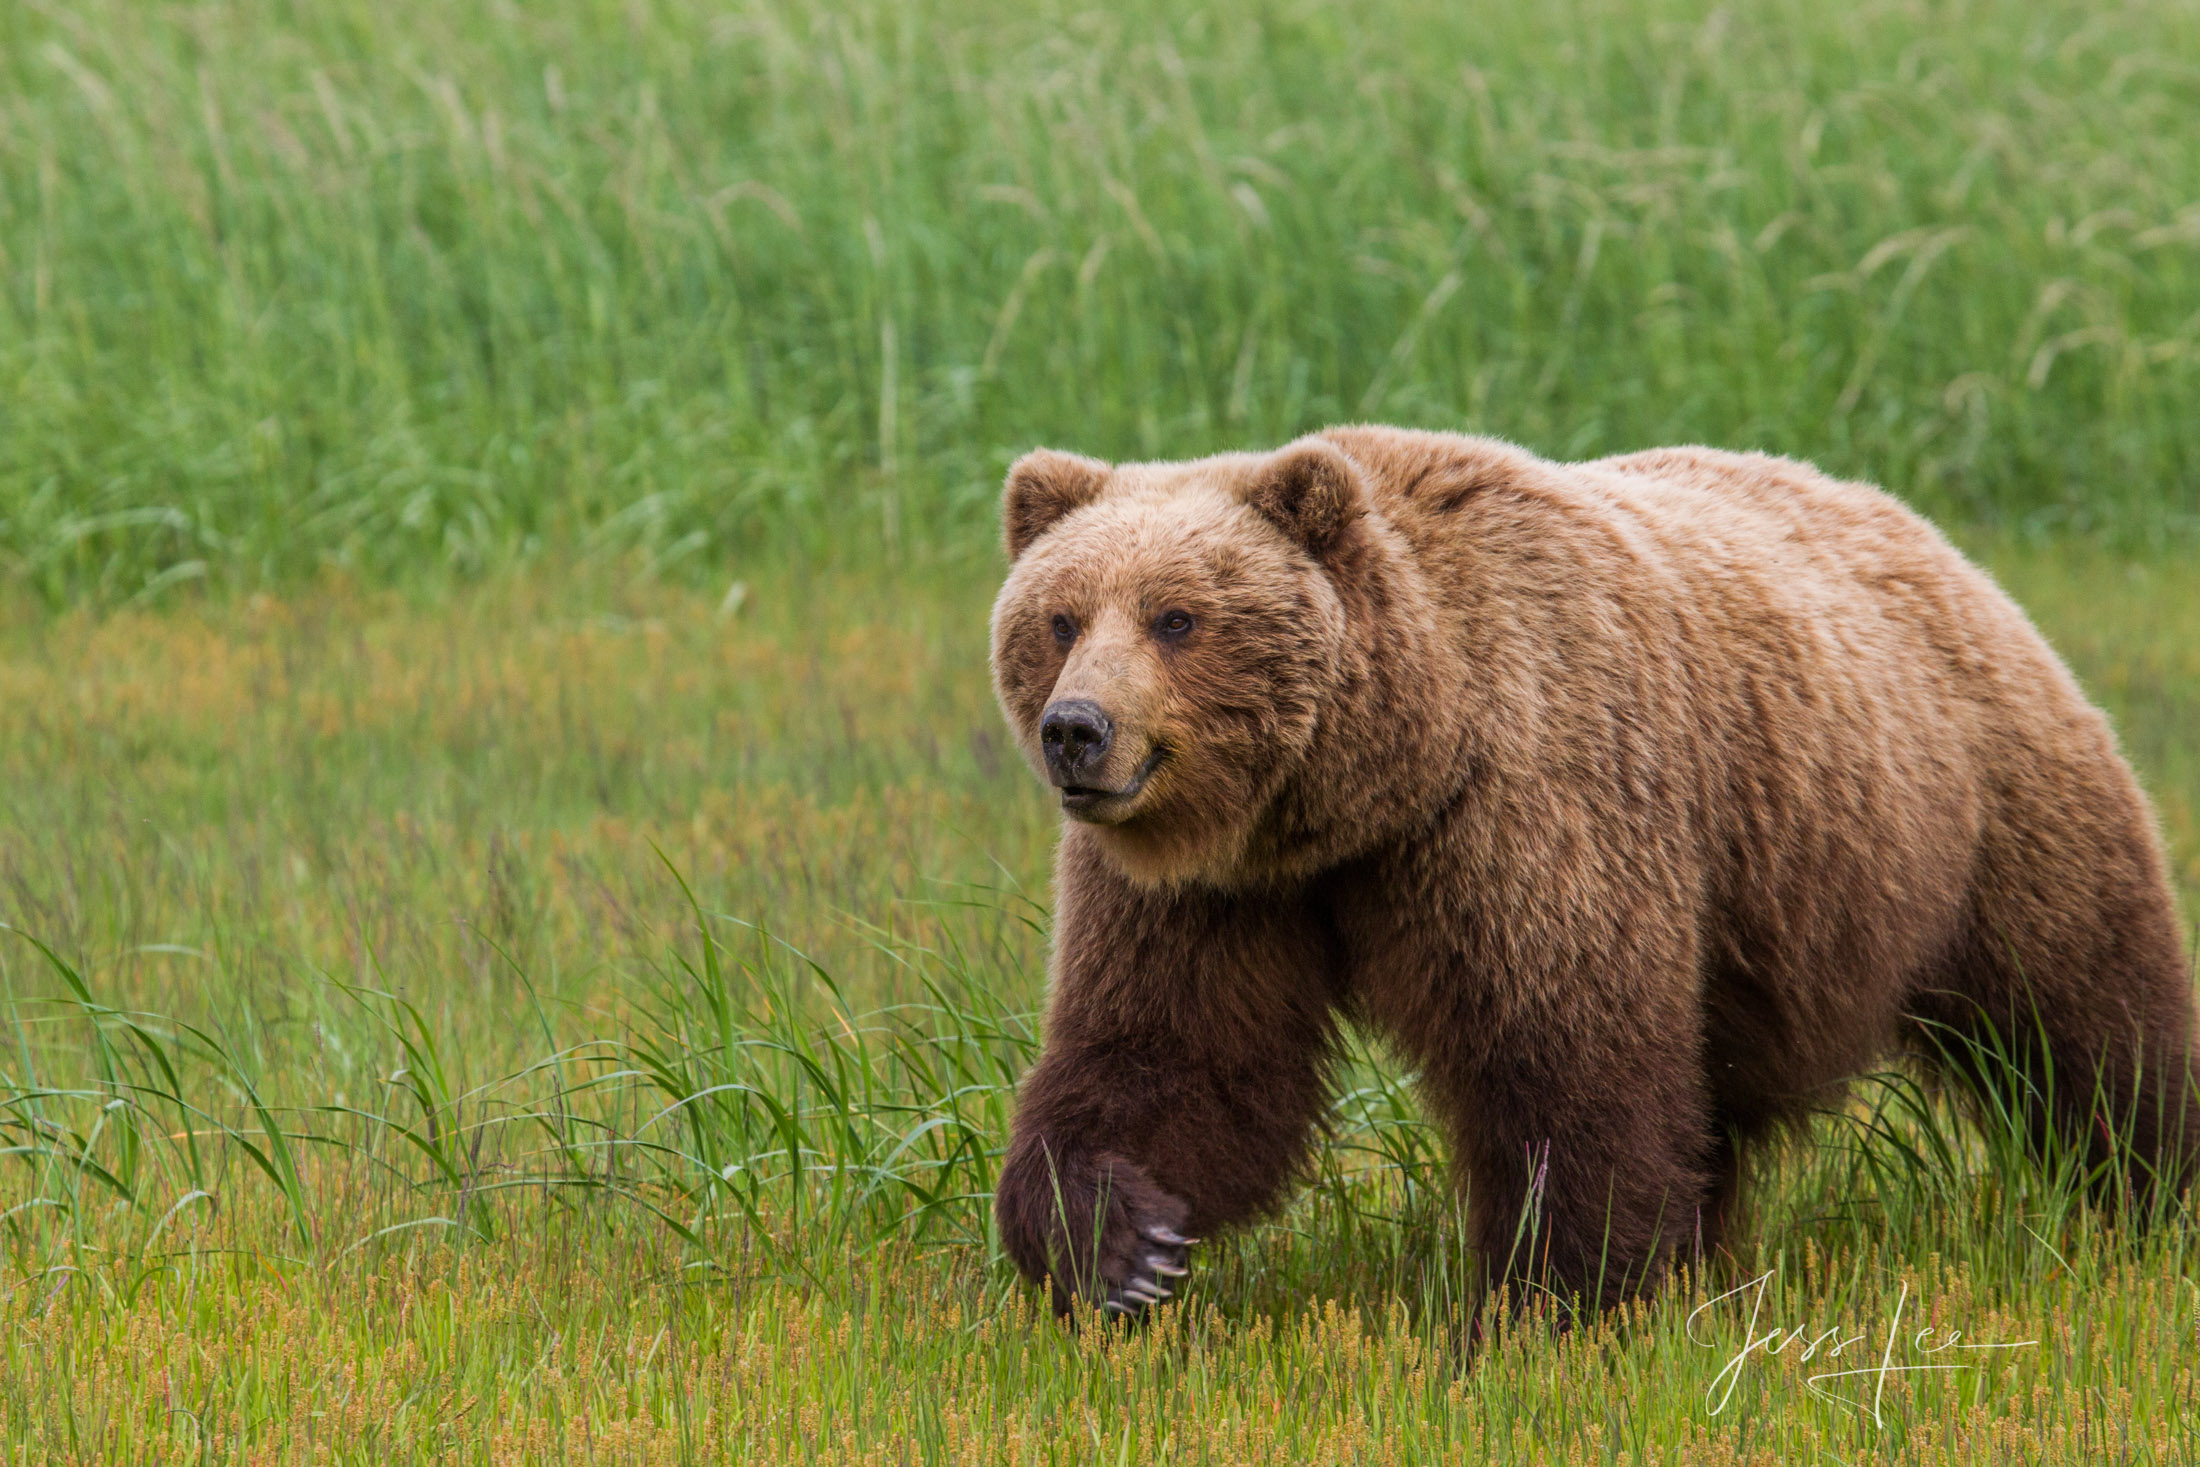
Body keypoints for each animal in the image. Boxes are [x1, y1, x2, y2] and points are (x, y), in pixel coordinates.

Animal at [994, 424, 2200, 1319]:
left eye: (1177, 617)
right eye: (1058, 617)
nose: (1077, 730)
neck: (1366, 790)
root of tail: (1917, 527)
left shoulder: (1527, 809)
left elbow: (1565, 1054)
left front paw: (1550, 1300)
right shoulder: (1214, 891)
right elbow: (1175, 1053)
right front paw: (1121, 1247)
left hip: (1977, 808)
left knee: (2088, 1010)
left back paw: (2152, 1192)